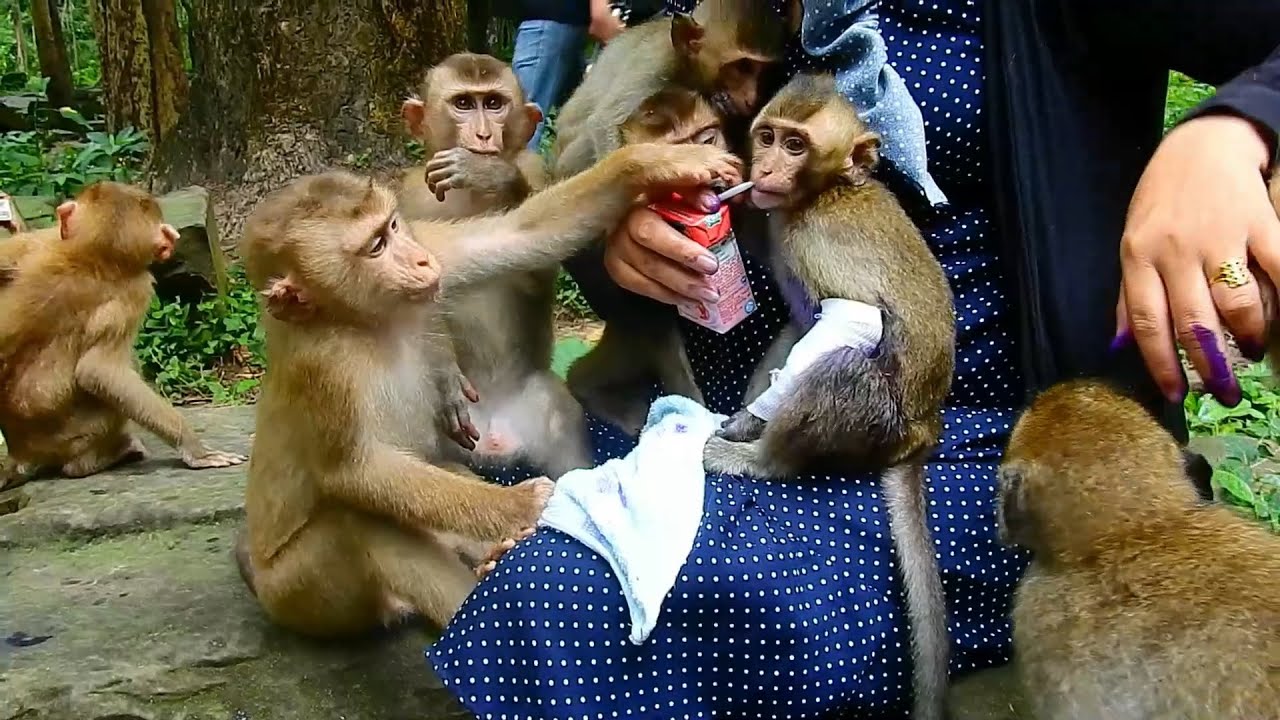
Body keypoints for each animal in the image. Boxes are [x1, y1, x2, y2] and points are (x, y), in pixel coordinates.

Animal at [0, 182, 246, 490]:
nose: (174, 236)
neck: (88, 254)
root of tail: (20, 453)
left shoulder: (37, 241)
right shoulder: (136, 291)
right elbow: (100, 373)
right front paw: (195, 449)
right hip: (81, 434)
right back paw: (103, 458)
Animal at [234, 143, 741, 638]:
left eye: (394, 227)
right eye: (376, 246)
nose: (420, 261)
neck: (365, 321)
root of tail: (260, 585)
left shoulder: (430, 240)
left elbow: (521, 234)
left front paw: (661, 161)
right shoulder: (322, 368)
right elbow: (355, 470)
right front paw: (520, 503)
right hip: (302, 593)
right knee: (364, 524)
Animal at [699, 74, 956, 720]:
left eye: (796, 145)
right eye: (766, 137)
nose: (763, 167)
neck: (820, 194)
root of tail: (926, 430)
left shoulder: (824, 239)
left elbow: (853, 319)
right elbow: (798, 318)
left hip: (878, 421)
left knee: (839, 363)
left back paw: (760, 460)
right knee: (794, 328)